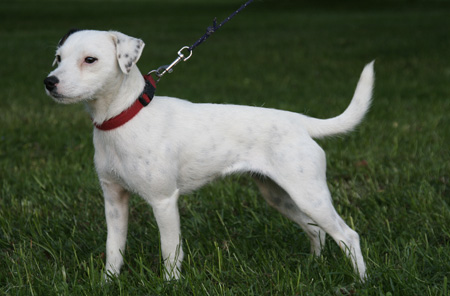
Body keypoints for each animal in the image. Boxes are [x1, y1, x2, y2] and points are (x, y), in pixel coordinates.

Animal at [44, 30, 374, 282]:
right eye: (58, 58)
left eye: (90, 60)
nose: (49, 82)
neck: (124, 117)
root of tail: (299, 121)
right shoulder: (114, 200)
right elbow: (114, 249)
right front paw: (107, 282)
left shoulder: (164, 201)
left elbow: (170, 251)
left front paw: (170, 284)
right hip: (279, 196)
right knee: (316, 230)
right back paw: (314, 264)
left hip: (310, 196)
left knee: (348, 236)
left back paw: (361, 280)